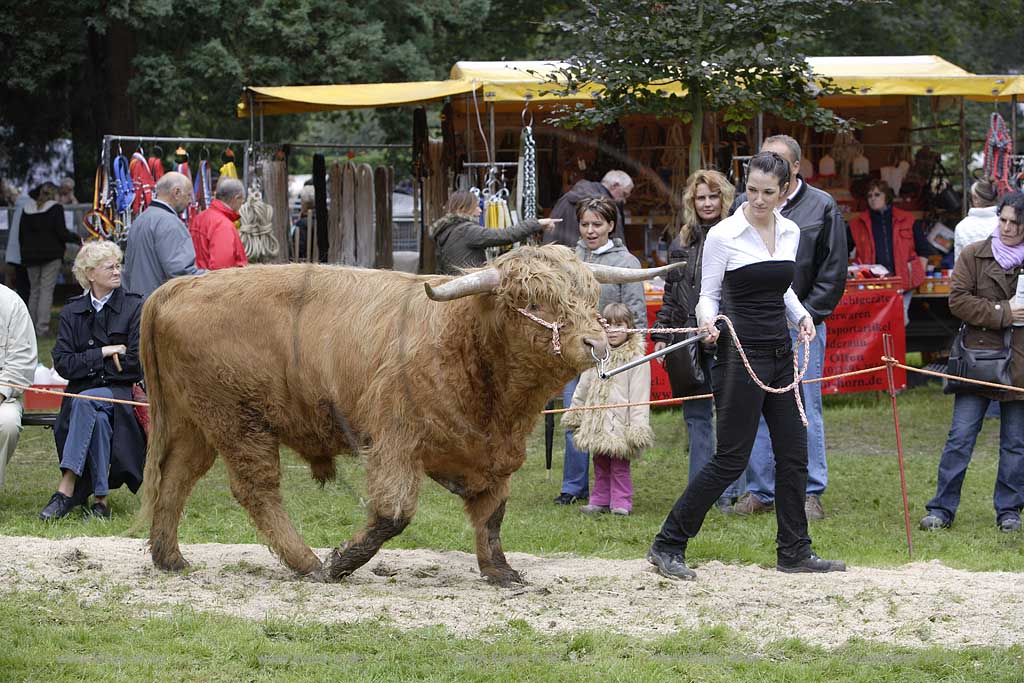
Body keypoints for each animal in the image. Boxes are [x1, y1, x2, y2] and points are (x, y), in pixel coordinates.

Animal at [138, 245, 679, 589]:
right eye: (531, 301)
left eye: (589, 296)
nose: (596, 343)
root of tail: (178, 287)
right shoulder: (393, 440)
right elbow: (393, 513)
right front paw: (341, 561)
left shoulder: (492, 454)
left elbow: (492, 515)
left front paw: (501, 572)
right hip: (238, 419)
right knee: (256, 488)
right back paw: (308, 562)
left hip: (196, 423)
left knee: (176, 479)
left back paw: (169, 558)